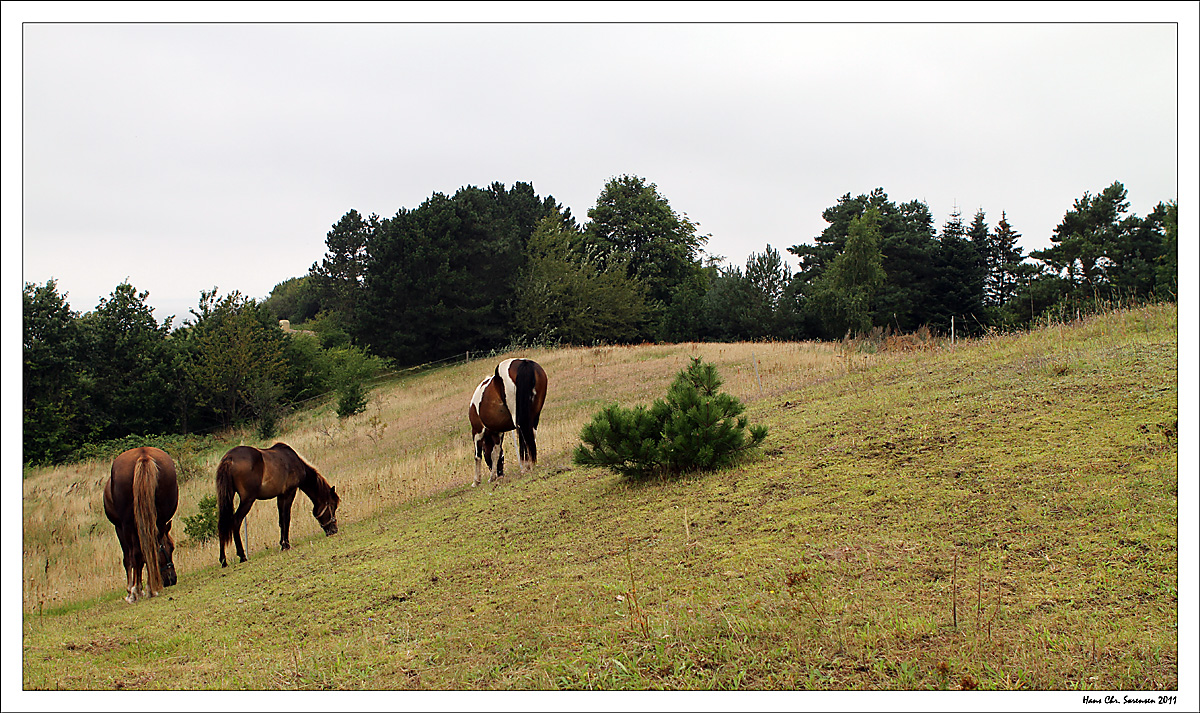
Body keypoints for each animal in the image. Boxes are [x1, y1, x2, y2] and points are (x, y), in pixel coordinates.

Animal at [104, 446, 177, 602]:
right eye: (171, 548)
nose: (172, 579)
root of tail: (144, 454)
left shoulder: (119, 528)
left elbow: (129, 558)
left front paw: (132, 591)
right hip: (158, 520)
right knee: (150, 547)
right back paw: (151, 589)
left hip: (128, 525)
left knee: (136, 554)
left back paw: (138, 591)